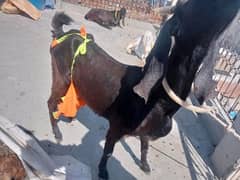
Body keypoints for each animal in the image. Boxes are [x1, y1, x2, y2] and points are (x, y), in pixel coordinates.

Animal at [47, 0, 239, 179]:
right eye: (189, 7)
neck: (160, 100)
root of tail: (62, 35)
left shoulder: (145, 133)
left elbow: (145, 147)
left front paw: (145, 166)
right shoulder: (116, 127)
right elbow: (108, 151)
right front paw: (102, 172)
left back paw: (69, 117)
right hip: (61, 76)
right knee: (50, 102)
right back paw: (57, 133)